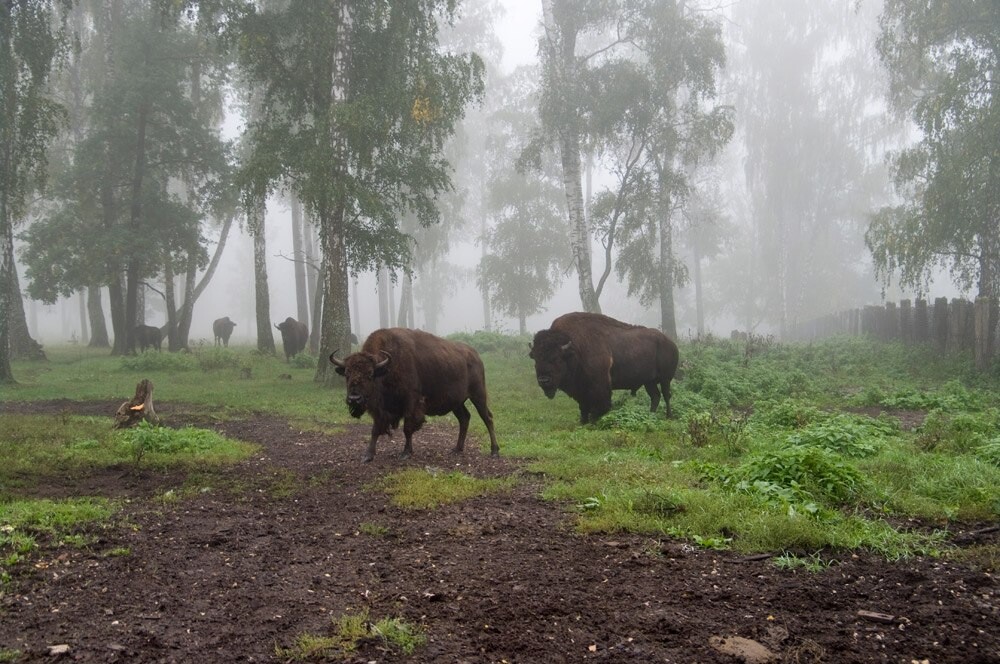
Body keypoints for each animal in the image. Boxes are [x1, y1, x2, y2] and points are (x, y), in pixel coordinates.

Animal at [328, 326, 500, 462]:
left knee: (487, 417)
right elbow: (375, 429)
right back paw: (457, 449)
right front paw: (367, 455)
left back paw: (494, 451)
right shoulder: (380, 409)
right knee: (464, 418)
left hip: (478, 395)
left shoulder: (411, 402)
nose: (354, 399)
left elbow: (408, 428)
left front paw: (405, 453)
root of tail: (475, 355)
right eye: (347, 374)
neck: (386, 368)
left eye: (370, 374)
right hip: (457, 402)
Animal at [532, 312, 680, 426]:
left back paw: (669, 416)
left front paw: (595, 420)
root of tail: (671, 344)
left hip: (665, 379)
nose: (544, 380)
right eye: (535, 359)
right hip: (649, 381)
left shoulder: (599, 386)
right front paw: (583, 421)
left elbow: (600, 405)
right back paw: (650, 415)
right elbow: (583, 406)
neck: (574, 348)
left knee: (666, 395)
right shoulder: (581, 390)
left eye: (556, 359)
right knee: (655, 396)